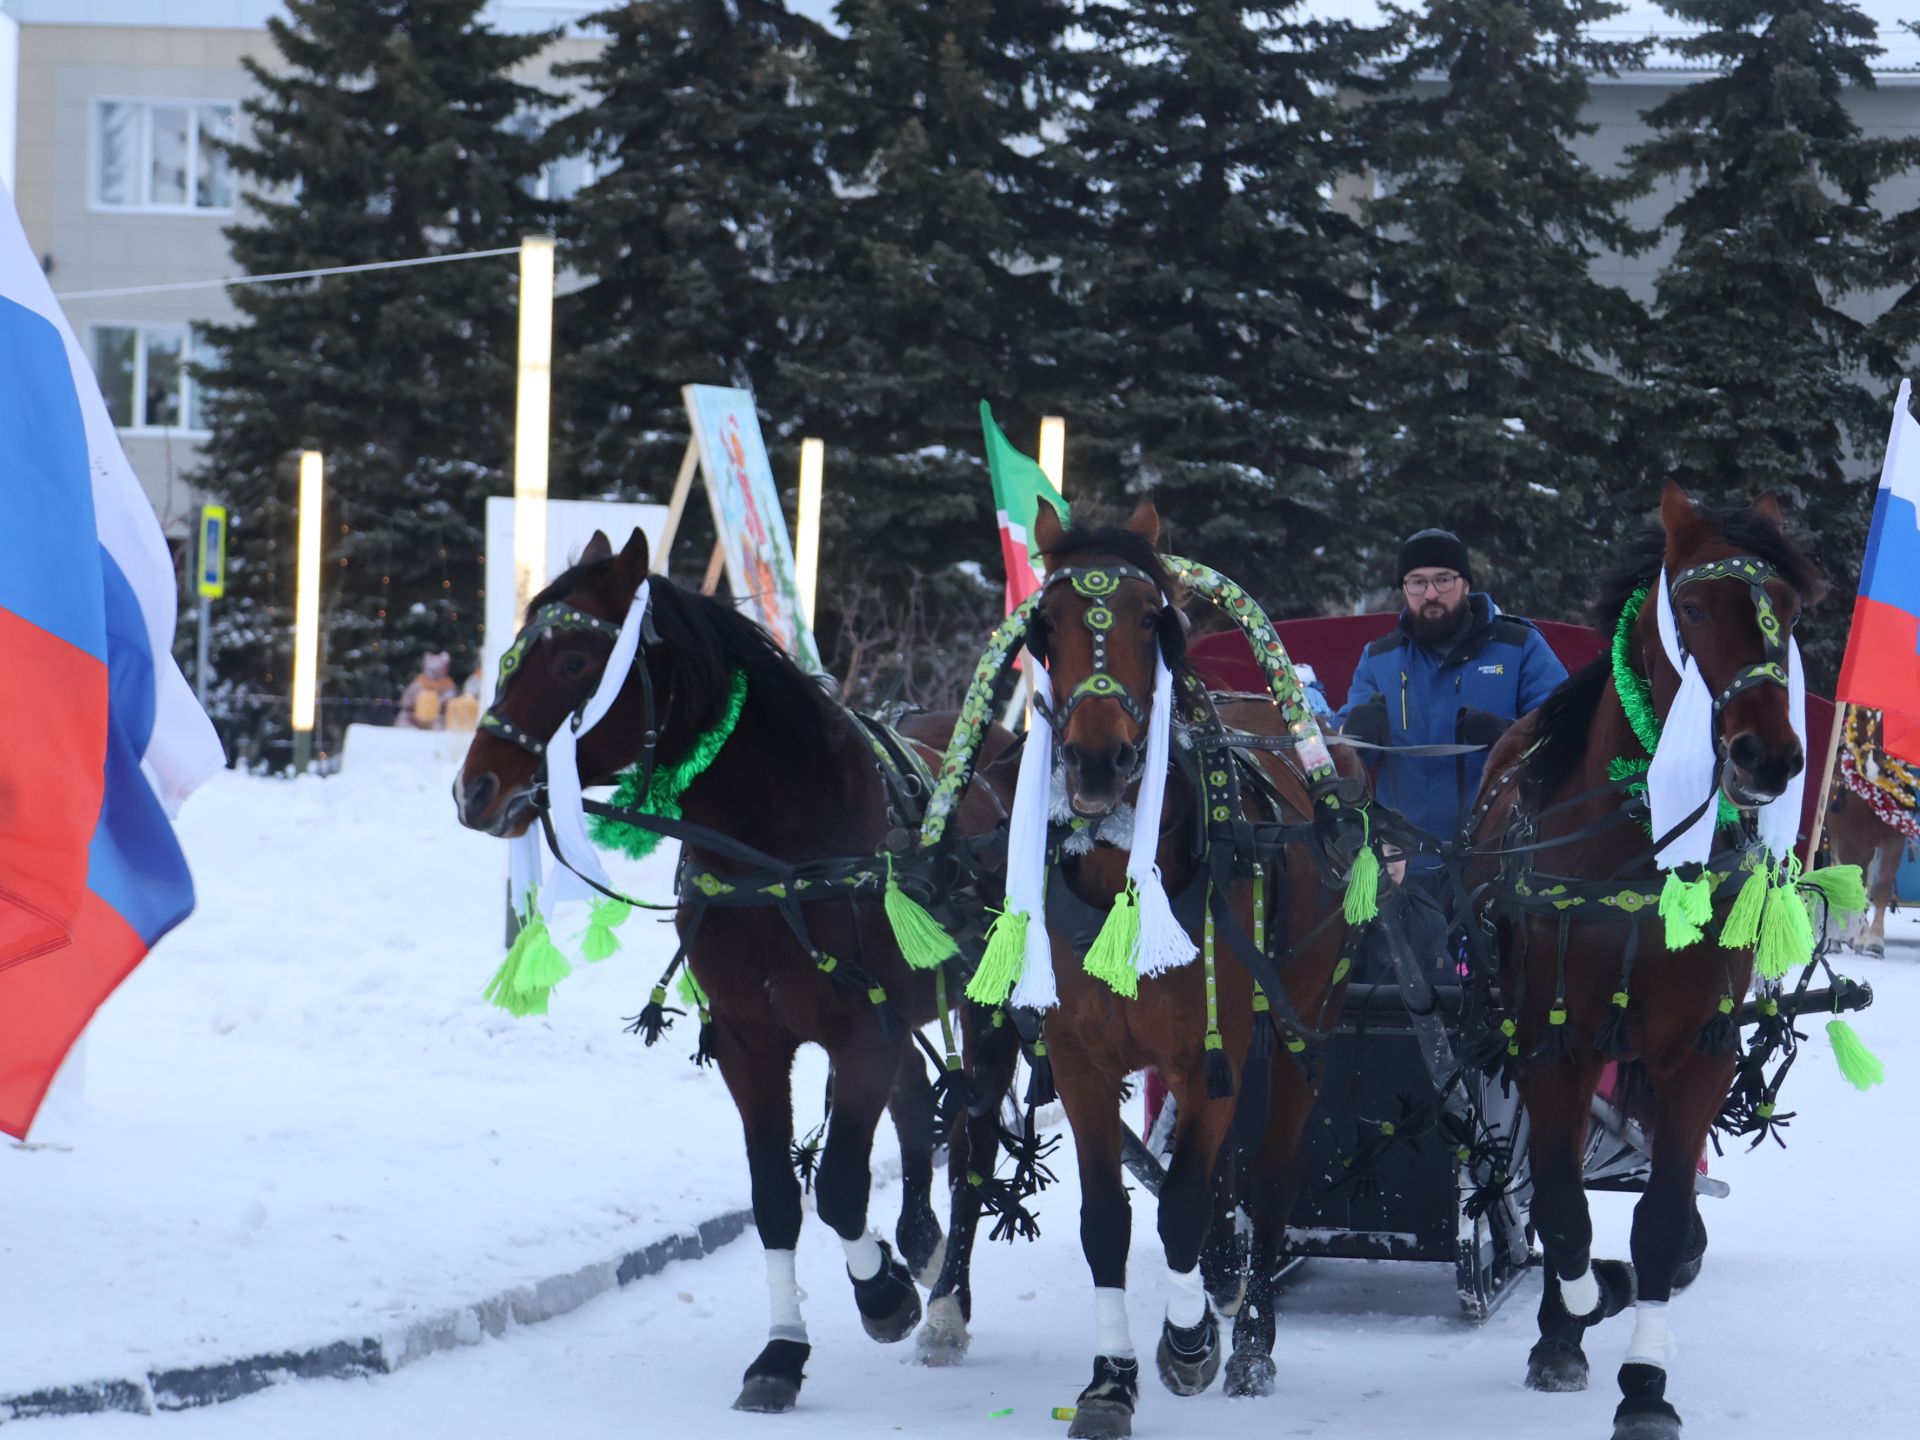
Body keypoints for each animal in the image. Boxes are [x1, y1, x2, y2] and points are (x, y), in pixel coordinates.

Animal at [453, 533, 1021, 1420]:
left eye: (578, 658)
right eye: (512, 652)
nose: (475, 788)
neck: (781, 851)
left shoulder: (859, 1030)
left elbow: (840, 1188)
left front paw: (885, 1295)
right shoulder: (754, 1043)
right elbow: (778, 1199)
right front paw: (783, 1352)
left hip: (991, 1006)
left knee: (975, 1144)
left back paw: (945, 1306)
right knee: (917, 1117)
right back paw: (923, 1247)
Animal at [1021, 503, 1367, 1436]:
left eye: (1153, 620)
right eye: (1044, 625)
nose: (1097, 762)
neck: (1122, 882)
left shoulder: (1207, 1057)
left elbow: (1180, 1202)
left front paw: (1187, 1347)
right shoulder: (1080, 1060)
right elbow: (1107, 1218)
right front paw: (1110, 1380)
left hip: (1300, 1026)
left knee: (1274, 1177)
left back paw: (1250, 1342)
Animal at [1466, 487, 1827, 1440]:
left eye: (1789, 613)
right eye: (1693, 608)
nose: (1770, 755)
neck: (1636, 854)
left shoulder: (1698, 1047)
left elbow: (1660, 1221)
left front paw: (1646, 1387)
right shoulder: (1550, 1044)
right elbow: (1563, 1213)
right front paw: (1576, 1317)